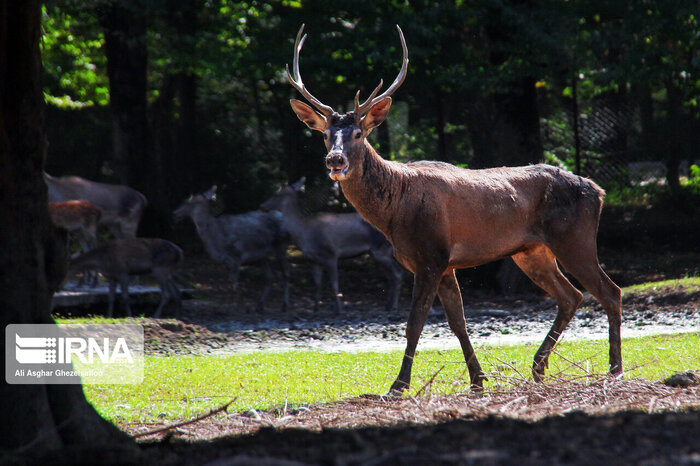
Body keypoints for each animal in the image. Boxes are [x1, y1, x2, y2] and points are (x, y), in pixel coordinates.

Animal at [260, 177, 402, 314]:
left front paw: (338, 310)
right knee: (390, 277)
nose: (262, 206)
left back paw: (394, 306)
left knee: (397, 274)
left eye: (277, 194)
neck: (304, 233)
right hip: (377, 253)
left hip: (382, 250)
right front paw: (315, 308)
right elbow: (317, 283)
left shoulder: (331, 254)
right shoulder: (314, 259)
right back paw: (388, 305)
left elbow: (334, 284)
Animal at [286, 24, 624, 394]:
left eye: (359, 133)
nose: (335, 160)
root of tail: (599, 191)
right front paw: (478, 380)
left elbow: (415, 323)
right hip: (531, 250)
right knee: (571, 295)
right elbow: (458, 323)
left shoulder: (431, 256)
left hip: (574, 237)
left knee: (609, 291)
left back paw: (614, 369)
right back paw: (538, 368)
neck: (394, 212)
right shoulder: (444, 264)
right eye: (326, 135)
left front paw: (399, 385)